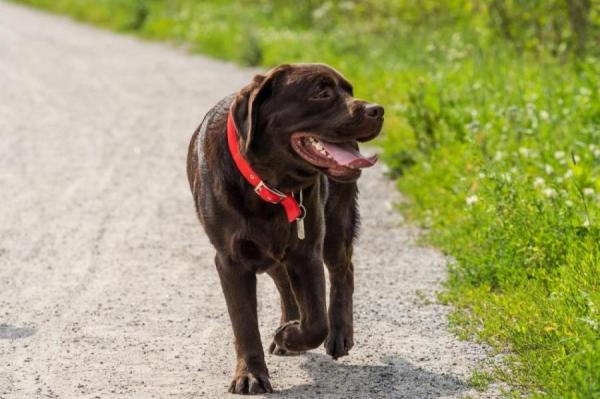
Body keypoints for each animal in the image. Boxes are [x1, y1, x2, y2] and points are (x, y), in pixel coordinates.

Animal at [186, 64, 384, 396]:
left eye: (349, 90)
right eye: (321, 92)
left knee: (343, 272)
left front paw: (289, 336)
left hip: (336, 224)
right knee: (283, 281)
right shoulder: (231, 259)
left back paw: (338, 334)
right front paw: (251, 375)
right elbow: (244, 323)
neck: (269, 184)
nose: (377, 109)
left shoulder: (307, 251)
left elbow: (316, 322)